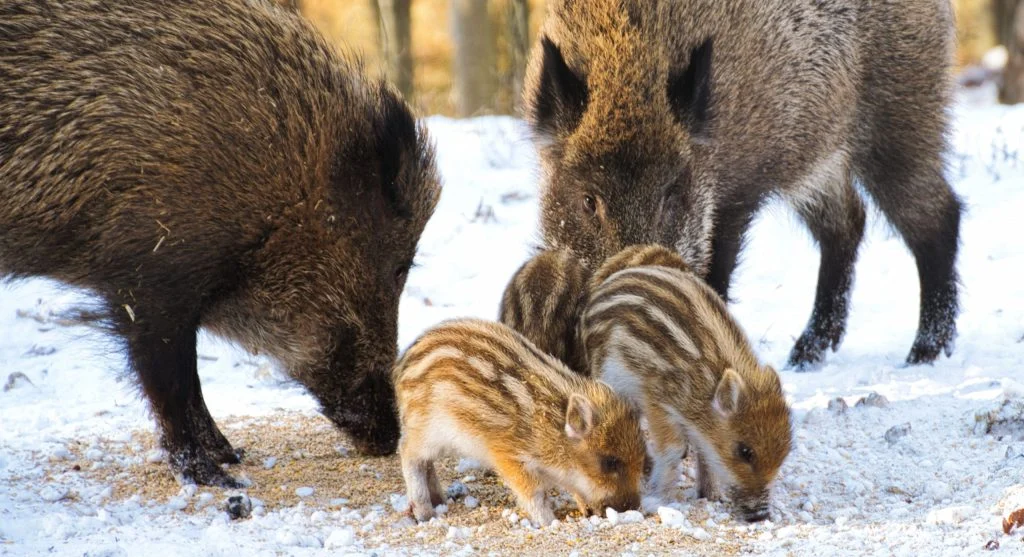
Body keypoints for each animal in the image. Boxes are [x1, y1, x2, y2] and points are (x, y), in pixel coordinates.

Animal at [0, 0, 440, 486]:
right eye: (399, 266)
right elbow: (171, 382)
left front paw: (231, 454)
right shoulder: (150, 279)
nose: (389, 434)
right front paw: (211, 474)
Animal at [393, 318, 646, 526]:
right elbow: (534, 493)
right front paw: (549, 523)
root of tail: (402, 367)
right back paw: (425, 512)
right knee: (409, 453)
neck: (550, 429)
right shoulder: (511, 457)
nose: (633, 507)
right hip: (426, 429)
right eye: (610, 462)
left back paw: (440, 500)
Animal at [524, 0, 963, 369]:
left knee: (938, 217)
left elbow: (715, 276)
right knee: (848, 223)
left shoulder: (734, 199)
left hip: (904, 117)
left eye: (671, 196)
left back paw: (923, 354)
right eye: (588, 200)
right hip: (818, 162)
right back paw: (805, 354)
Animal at [582, 245, 792, 521]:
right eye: (745, 451)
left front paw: (712, 496)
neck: (703, 383)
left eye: (784, 454)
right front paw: (660, 498)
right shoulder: (656, 400)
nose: (759, 515)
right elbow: (672, 448)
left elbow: (704, 454)